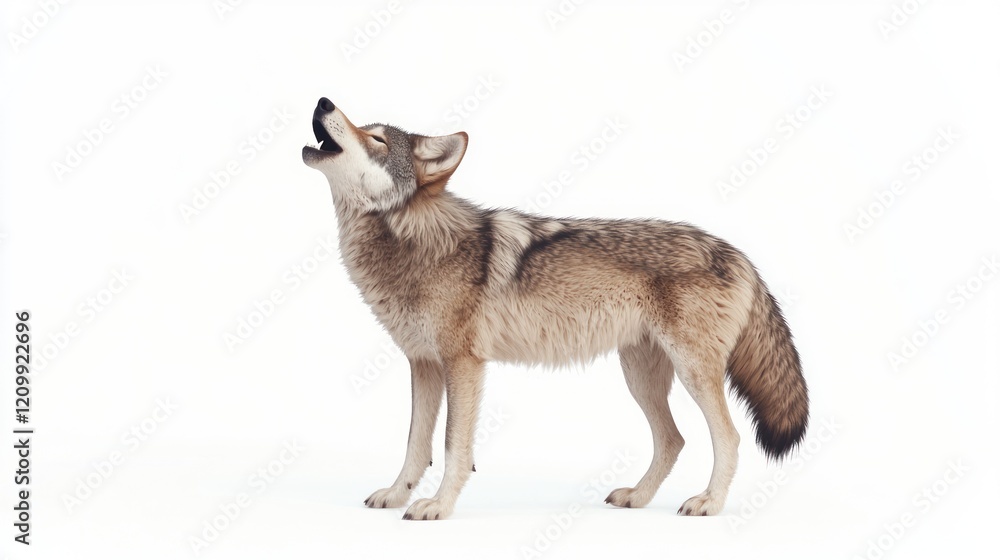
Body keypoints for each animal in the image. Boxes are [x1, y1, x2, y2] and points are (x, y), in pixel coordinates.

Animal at [302, 97, 808, 521]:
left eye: (377, 140)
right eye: (366, 128)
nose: (324, 101)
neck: (414, 241)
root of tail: (737, 253)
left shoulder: (463, 364)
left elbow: (451, 446)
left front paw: (439, 507)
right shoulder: (423, 363)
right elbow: (414, 444)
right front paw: (396, 495)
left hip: (692, 373)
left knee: (729, 437)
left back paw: (709, 503)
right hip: (640, 377)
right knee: (673, 439)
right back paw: (638, 497)